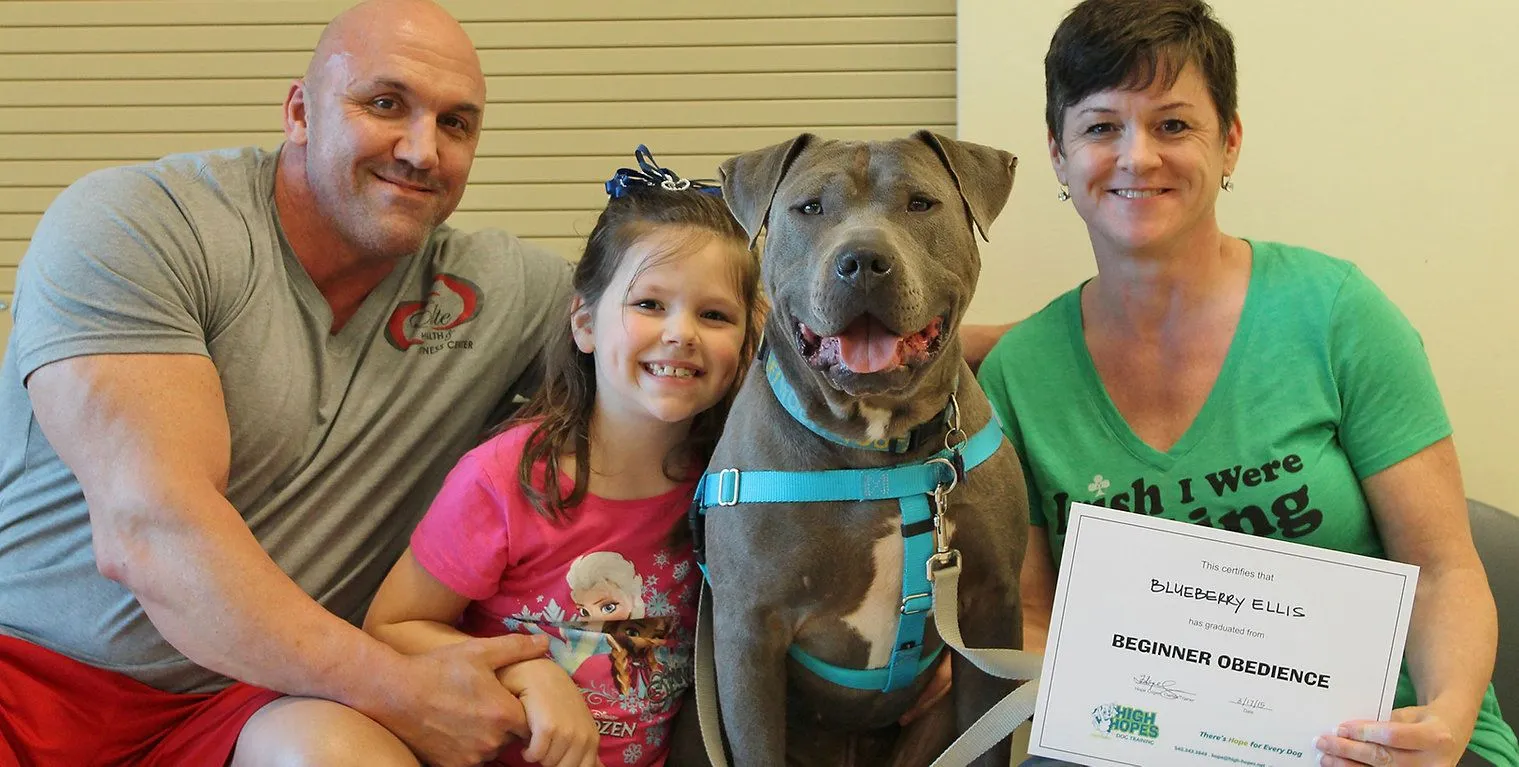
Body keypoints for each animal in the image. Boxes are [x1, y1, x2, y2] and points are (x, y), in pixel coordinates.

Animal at [689, 132, 1032, 765]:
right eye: (810, 208)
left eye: (921, 204)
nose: (864, 261)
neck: (877, 452)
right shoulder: (748, 635)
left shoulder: (991, 605)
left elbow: (985, 740)